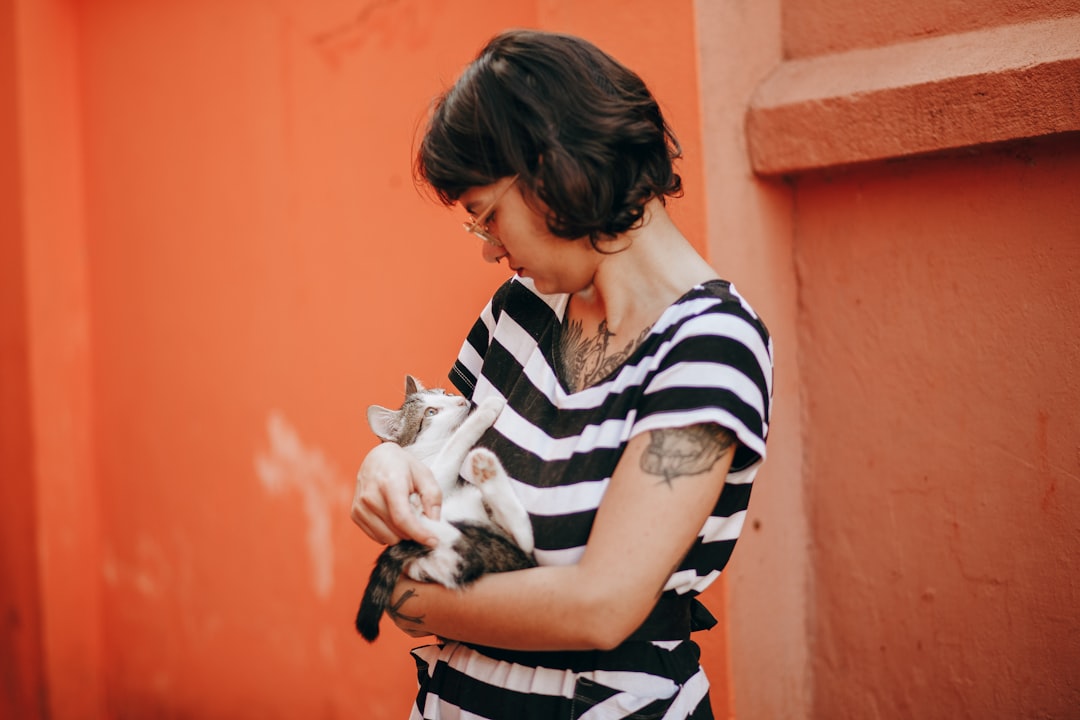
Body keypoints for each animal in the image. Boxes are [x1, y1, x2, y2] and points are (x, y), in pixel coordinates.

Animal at [356, 377, 537, 643]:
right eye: (431, 412)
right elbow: (455, 443)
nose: (461, 400)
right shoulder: (431, 484)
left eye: (446, 393)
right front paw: (484, 411)